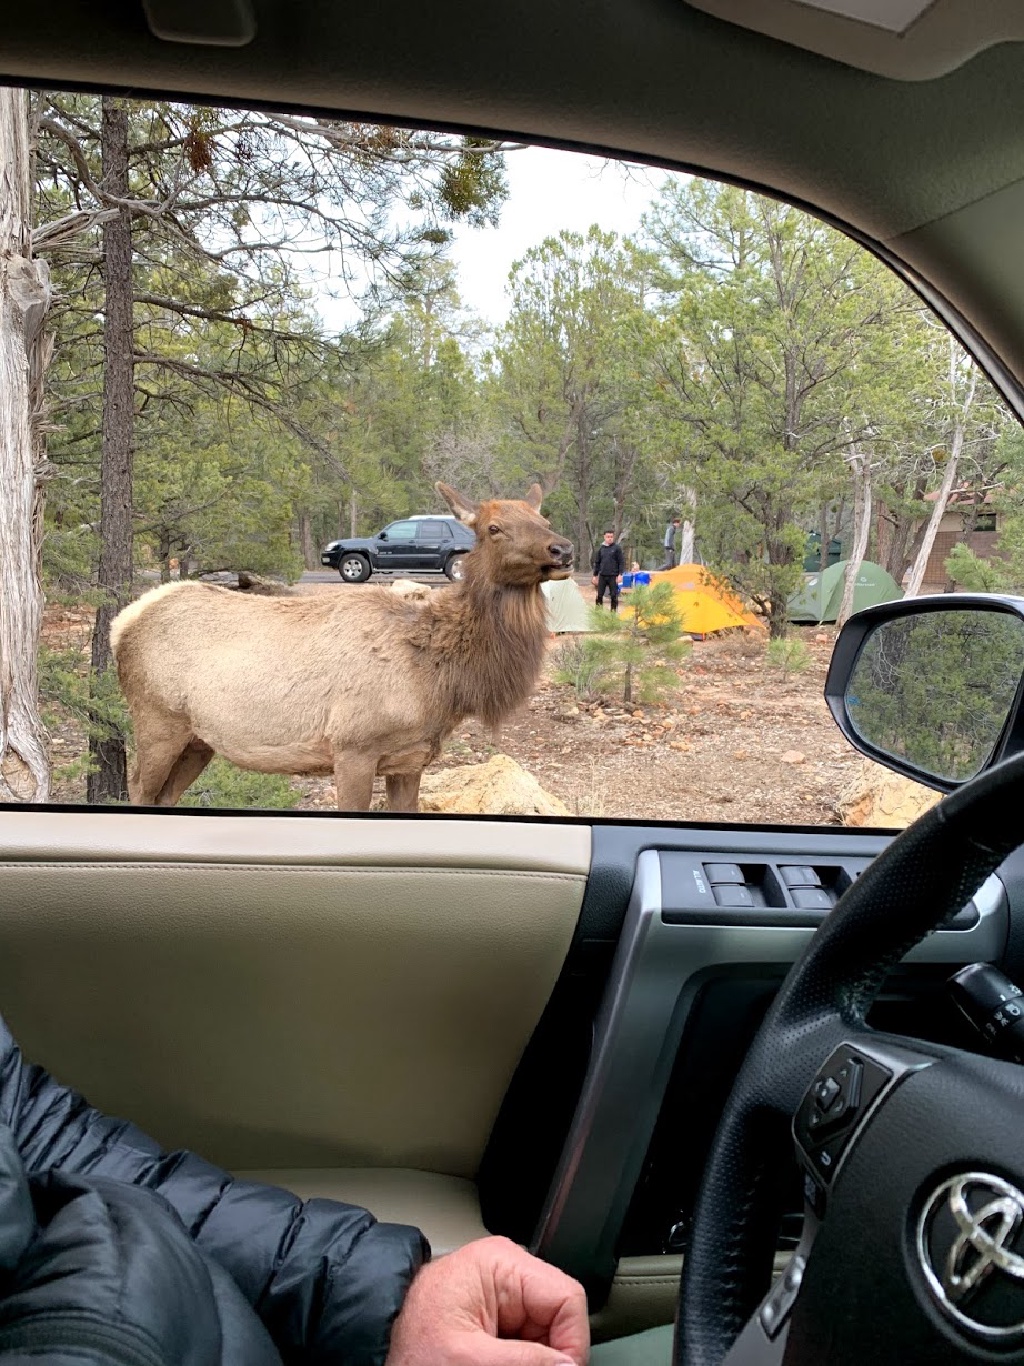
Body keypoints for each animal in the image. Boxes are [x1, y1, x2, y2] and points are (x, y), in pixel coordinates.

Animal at [109, 483, 574, 811]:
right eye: (493, 529)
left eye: (542, 517)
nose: (563, 548)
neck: (438, 676)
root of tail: (121, 624)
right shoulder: (353, 747)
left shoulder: (410, 759)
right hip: (158, 719)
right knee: (138, 788)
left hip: (198, 739)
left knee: (165, 796)